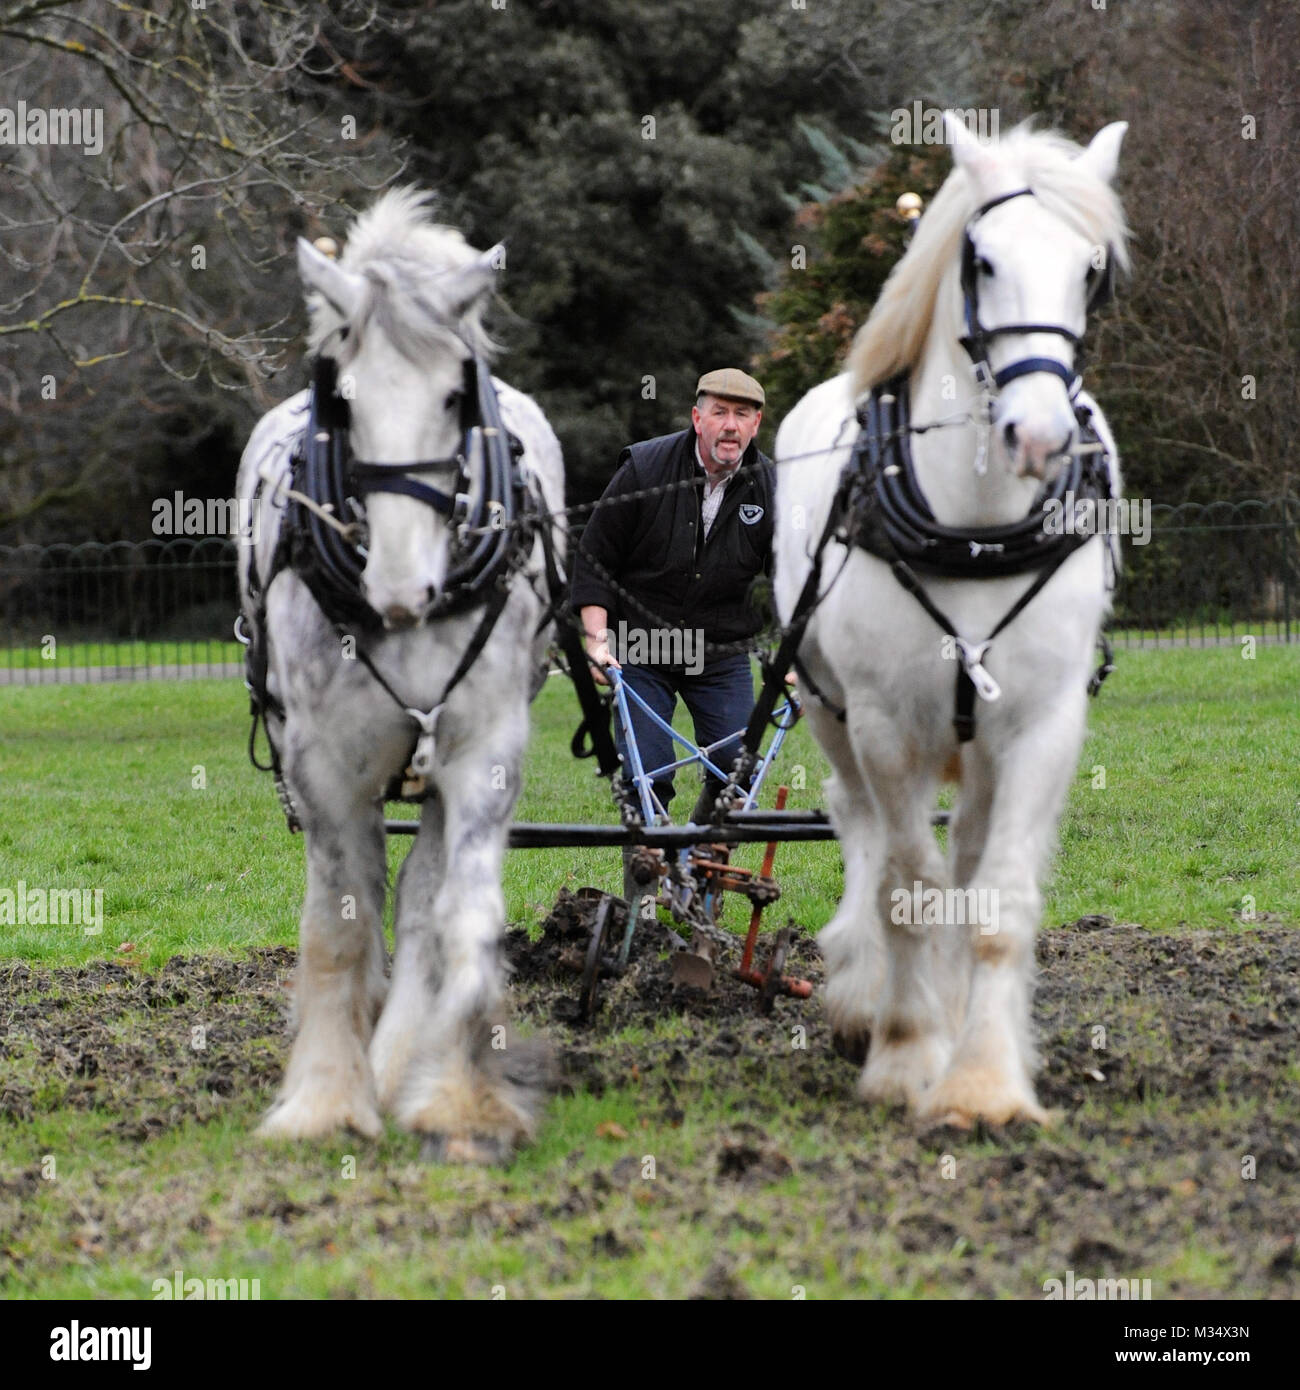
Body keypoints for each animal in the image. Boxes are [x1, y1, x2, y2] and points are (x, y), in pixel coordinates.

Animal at [235, 188, 564, 1162]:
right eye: (340, 399)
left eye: (456, 394)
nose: (398, 589)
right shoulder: (325, 768)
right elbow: (337, 928)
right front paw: (323, 1099)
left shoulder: (486, 752)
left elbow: (458, 917)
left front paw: (456, 1097)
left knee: (419, 898)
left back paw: (399, 1051)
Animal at [774, 117, 1130, 1127]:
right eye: (984, 259)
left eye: (1091, 270)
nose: (1039, 437)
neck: (976, 526)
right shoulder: (885, 723)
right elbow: (907, 884)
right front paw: (905, 1054)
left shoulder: (1044, 724)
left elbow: (995, 898)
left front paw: (984, 1081)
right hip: (826, 708)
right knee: (857, 824)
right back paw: (865, 996)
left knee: (967, 856)